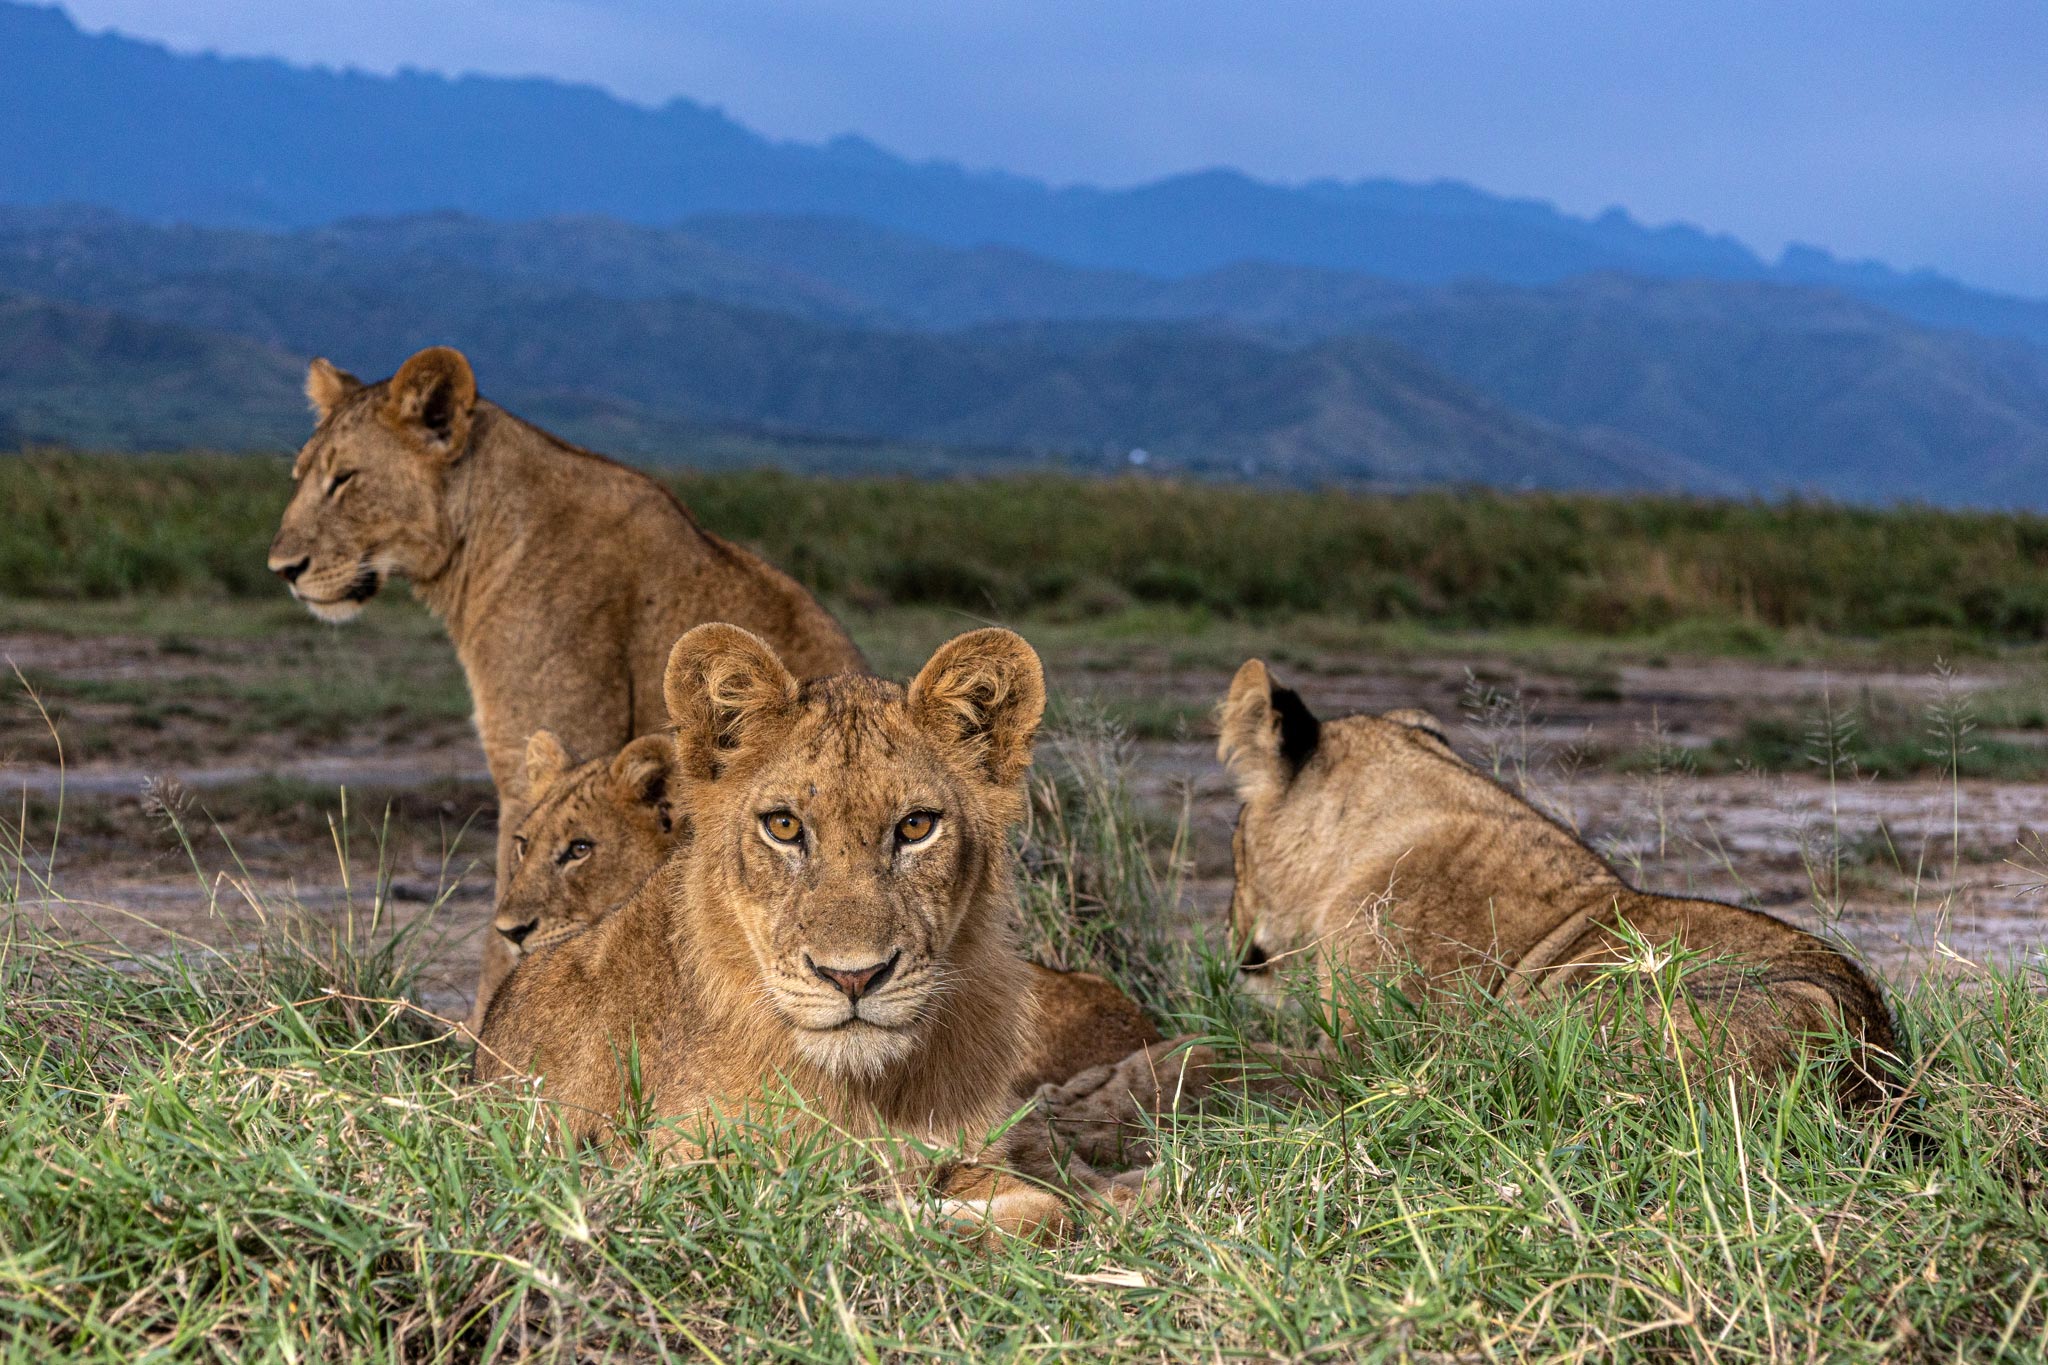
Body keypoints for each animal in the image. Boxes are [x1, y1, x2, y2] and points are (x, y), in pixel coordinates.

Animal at [266, 347, 864, 1019]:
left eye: (344, 479)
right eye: (300, 477)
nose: (282, 569)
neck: (479, 544)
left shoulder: (546, 746)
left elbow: (510, 929)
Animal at [1040, 658, 1900, 1162]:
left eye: (1234, 838)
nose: (1226, 931)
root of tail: (1864, 1077)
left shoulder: (1371, 1061)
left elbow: (1214, 1052)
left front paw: (1082, 1108)